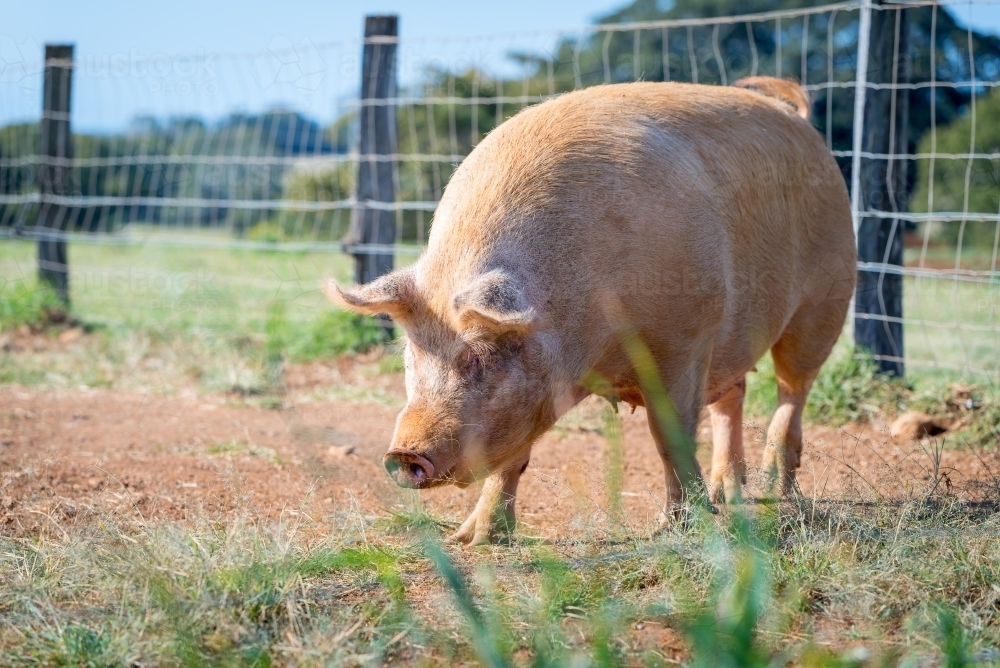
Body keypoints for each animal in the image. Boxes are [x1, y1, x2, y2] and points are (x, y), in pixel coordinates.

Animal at [326, 78, 852, 544]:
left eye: (478, 355)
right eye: (410, 356)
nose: (403, 454)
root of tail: (797, 117)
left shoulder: (685, 339)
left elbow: (671, 438)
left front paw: (676, 532)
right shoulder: (536, 391)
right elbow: (511, 458)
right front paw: (472, 540)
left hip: (825, 297)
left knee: (792, 388)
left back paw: (775, 491)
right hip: (736, 339)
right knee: (733, 395)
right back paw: (731, 494)